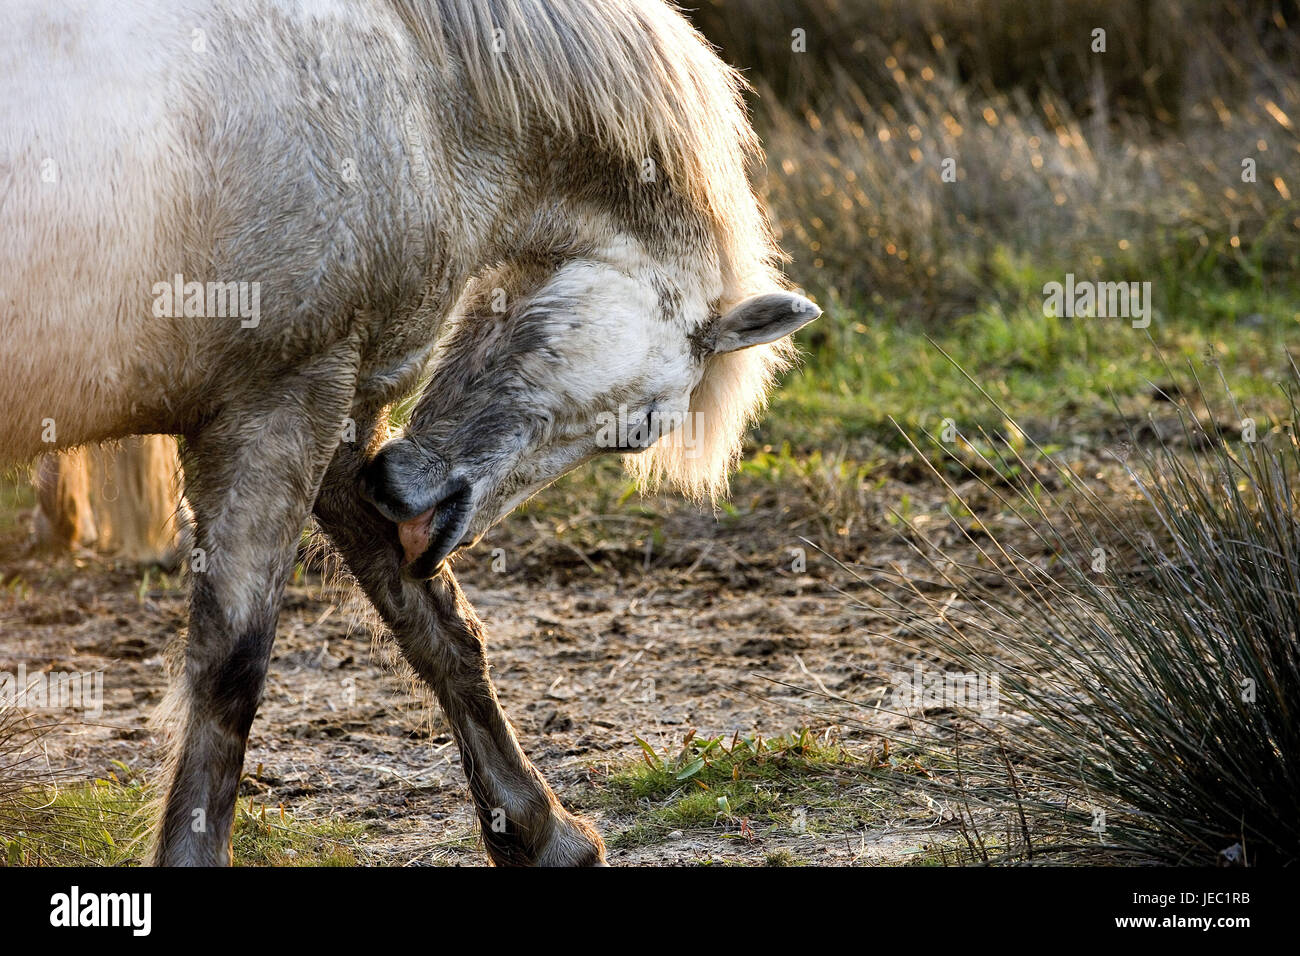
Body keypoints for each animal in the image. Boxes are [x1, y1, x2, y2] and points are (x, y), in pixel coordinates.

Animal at [0, 0, 811, 868]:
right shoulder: (283, 400)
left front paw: (541, 832)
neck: (422, 88)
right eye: (643, 427)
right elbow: (232, 670)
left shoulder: (333, 412)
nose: (419, 497)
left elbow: (435, 625)